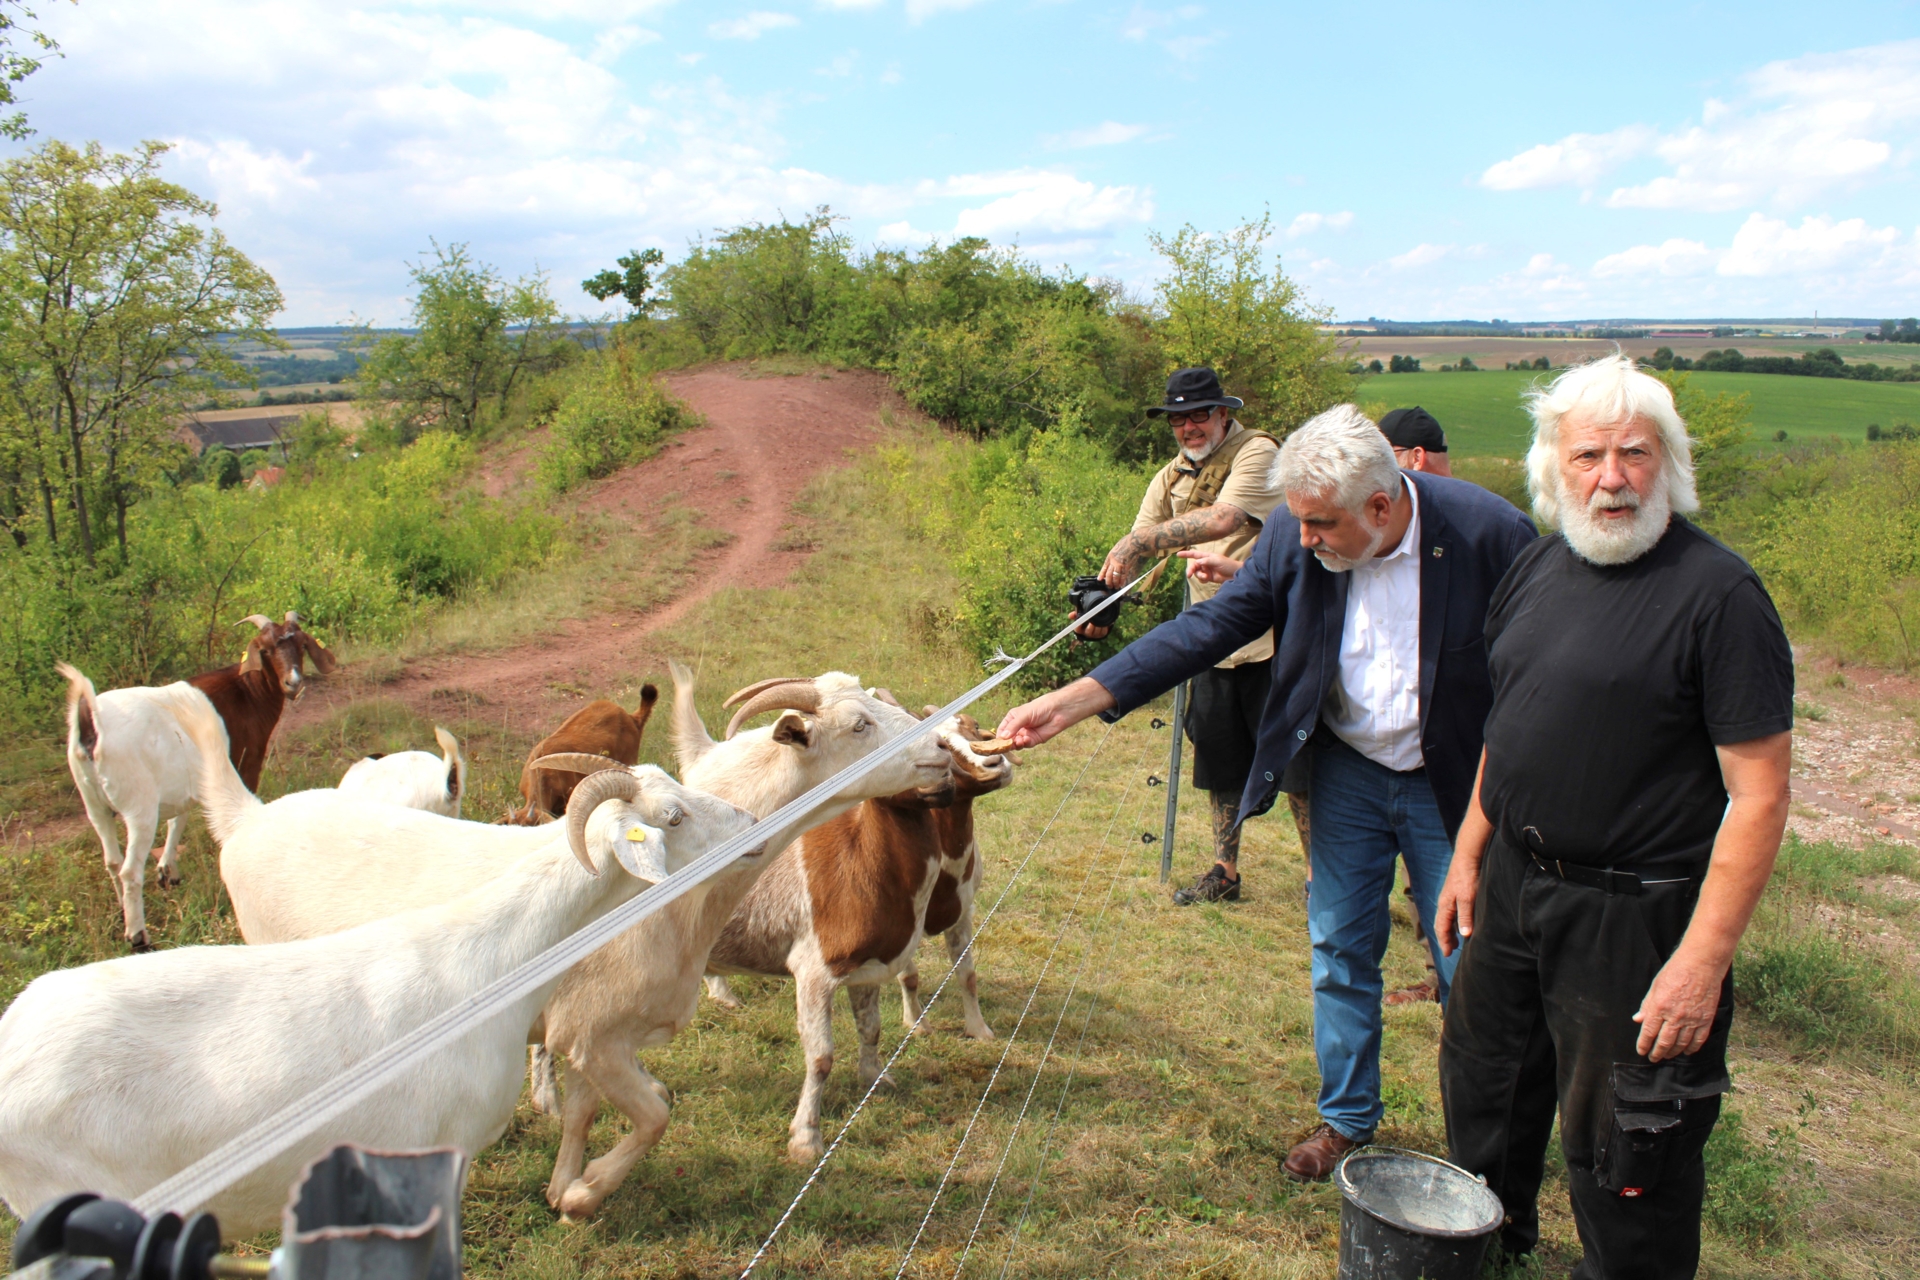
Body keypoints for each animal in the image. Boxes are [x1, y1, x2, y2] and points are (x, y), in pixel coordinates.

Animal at [60, 610, 337, 951]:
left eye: (300, 644)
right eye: (265, 649)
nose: (293, 681)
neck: (246, 691)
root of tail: (90, 722)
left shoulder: (189, 780)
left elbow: (178, 818)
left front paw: (168, 872)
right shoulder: (245, 764)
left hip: (93, 803)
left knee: (111, 861)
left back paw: (122, 910)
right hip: (139, 807)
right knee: (128, 869)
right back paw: (138, 936)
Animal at [706, 706, 1021, 1166]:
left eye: (971, 729)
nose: (995, 764)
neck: (855, 860)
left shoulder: (873, 964)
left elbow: (873, 1027)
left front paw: (876, 1078)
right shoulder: (814, 972)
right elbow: (820, 1057)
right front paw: (805, 1140)